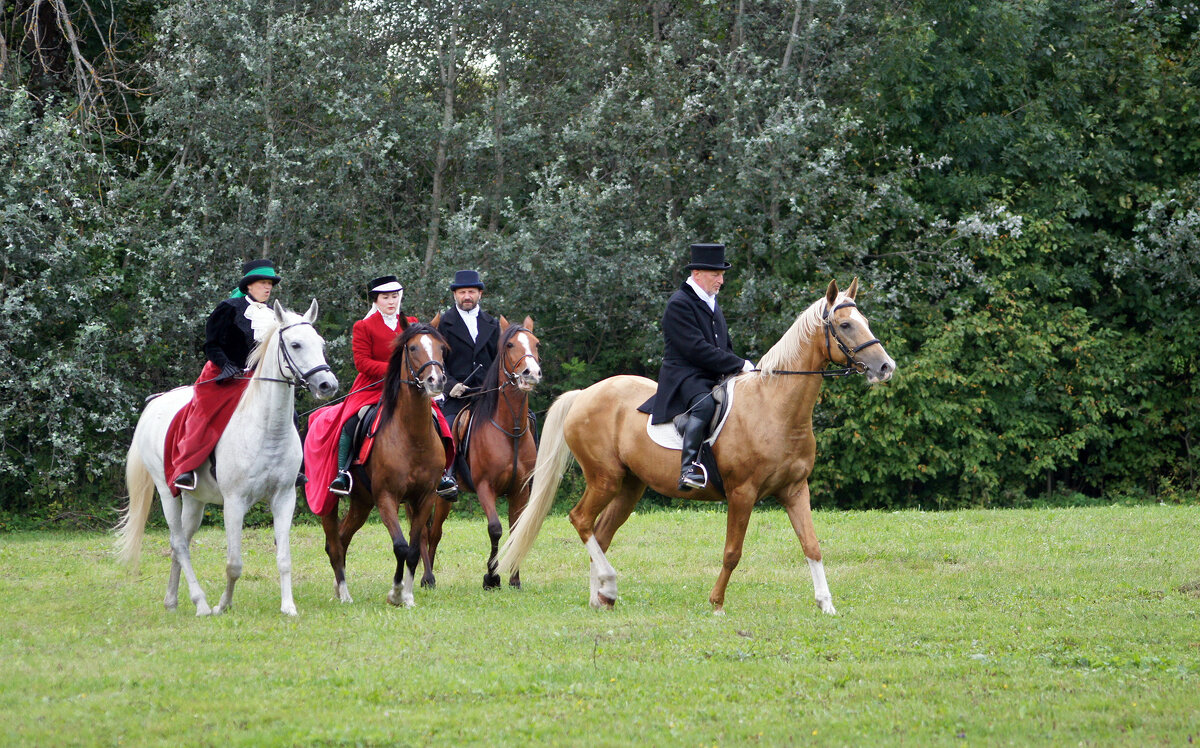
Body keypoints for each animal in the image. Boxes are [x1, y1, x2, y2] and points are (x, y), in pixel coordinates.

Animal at [116, 301, 338, 619]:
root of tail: (155, 404)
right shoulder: (234, 502)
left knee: (180, 543)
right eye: (295, 344)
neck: (266, 428)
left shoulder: (284, 498)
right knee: (179, 543)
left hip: (194, 500)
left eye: (320, 343)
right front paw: (223, 604)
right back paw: (201, 603)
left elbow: (284, 558)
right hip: (167, 492)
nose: (327, 384)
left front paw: (288, 606)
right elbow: (234, 564)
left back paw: (172, 600)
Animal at [319, 321, 451, 609]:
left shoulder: (425, 498)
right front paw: (396, 593)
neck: (413, 435)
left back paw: (339, 588)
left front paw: (408, 597)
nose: (436, 380)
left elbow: (412, 549)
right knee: (334, 543)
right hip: (331, 501)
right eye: (412, 348)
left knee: (343, 537)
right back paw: (343, 592)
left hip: (362, 501)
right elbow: (400, 546)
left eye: (441, 348)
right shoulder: (386, 497)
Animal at [417, 316, 540, 590]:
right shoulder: (486, 487)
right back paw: (427, 577)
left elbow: (515, 530)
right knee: (427, 532)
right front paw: (491, 577)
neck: (510, 430)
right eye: (510, 345)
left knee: (434, 533)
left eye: (536, 343)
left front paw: (514, 579)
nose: (531, 373)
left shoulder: (520, 490)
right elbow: (495, 528)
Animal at [494, 280, 892, 614]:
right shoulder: (743, 493)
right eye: (845, 325)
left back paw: (601, 597)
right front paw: (716, 603)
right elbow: (733, 551)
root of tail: (584, 395)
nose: (886, 367)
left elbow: (811, 545)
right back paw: (608, 584)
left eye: (865, 320)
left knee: (600, 530)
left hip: (629, 486)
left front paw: (827, 605)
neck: (774, 406)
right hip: (604, 478)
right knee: (581, 520)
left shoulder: (795, 490)